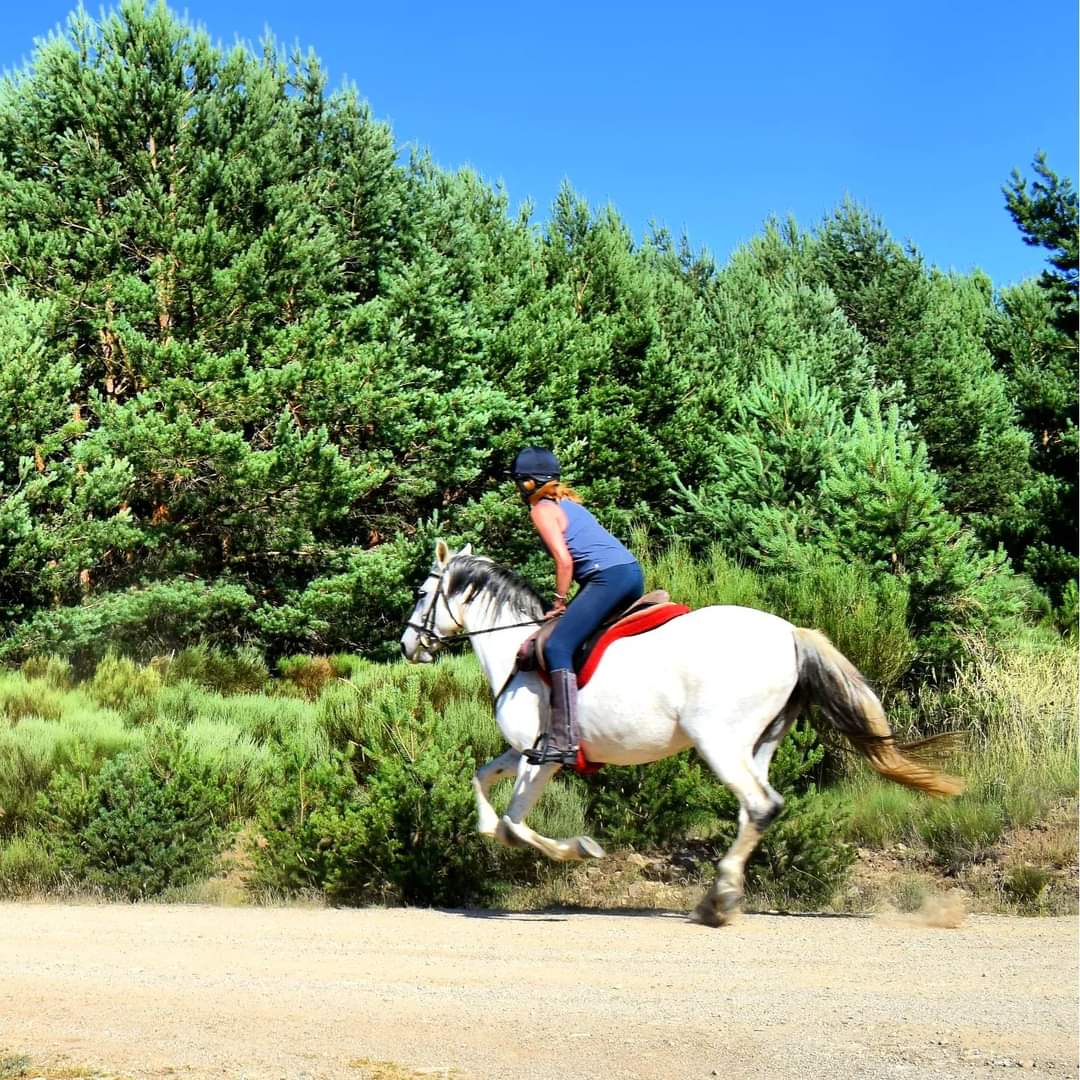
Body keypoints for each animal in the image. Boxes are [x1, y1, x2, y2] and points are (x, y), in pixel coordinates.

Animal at [400, 540, 962, 926]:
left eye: (424, 593)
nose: (408, 645)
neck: (515, 648)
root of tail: (789, 632)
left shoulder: (542, 758)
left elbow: (514, 827)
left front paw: (582, 850)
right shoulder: (523, 753)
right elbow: (482, 789)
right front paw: (493, 826)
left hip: (718, 740)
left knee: (762, 806)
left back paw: (720, 901)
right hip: (757, 745)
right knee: (753, 810)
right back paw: (718, 896)